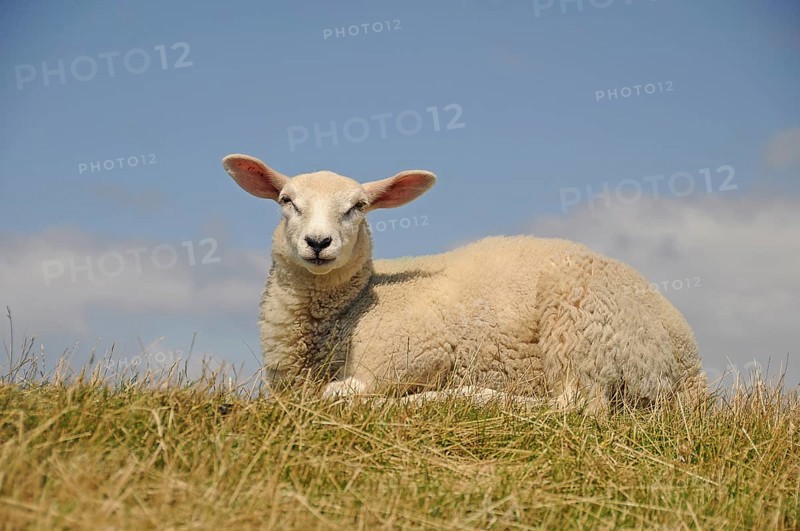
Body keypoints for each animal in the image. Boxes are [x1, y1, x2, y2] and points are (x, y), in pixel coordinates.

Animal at [222, 153, 706, 410]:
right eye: (286, 201)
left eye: (358, 207)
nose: (318, 243)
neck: (355, 305)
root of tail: (691, 370)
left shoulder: (418, 350)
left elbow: (346, 391)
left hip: (579, 321)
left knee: (578, 406)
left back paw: (464, 396)